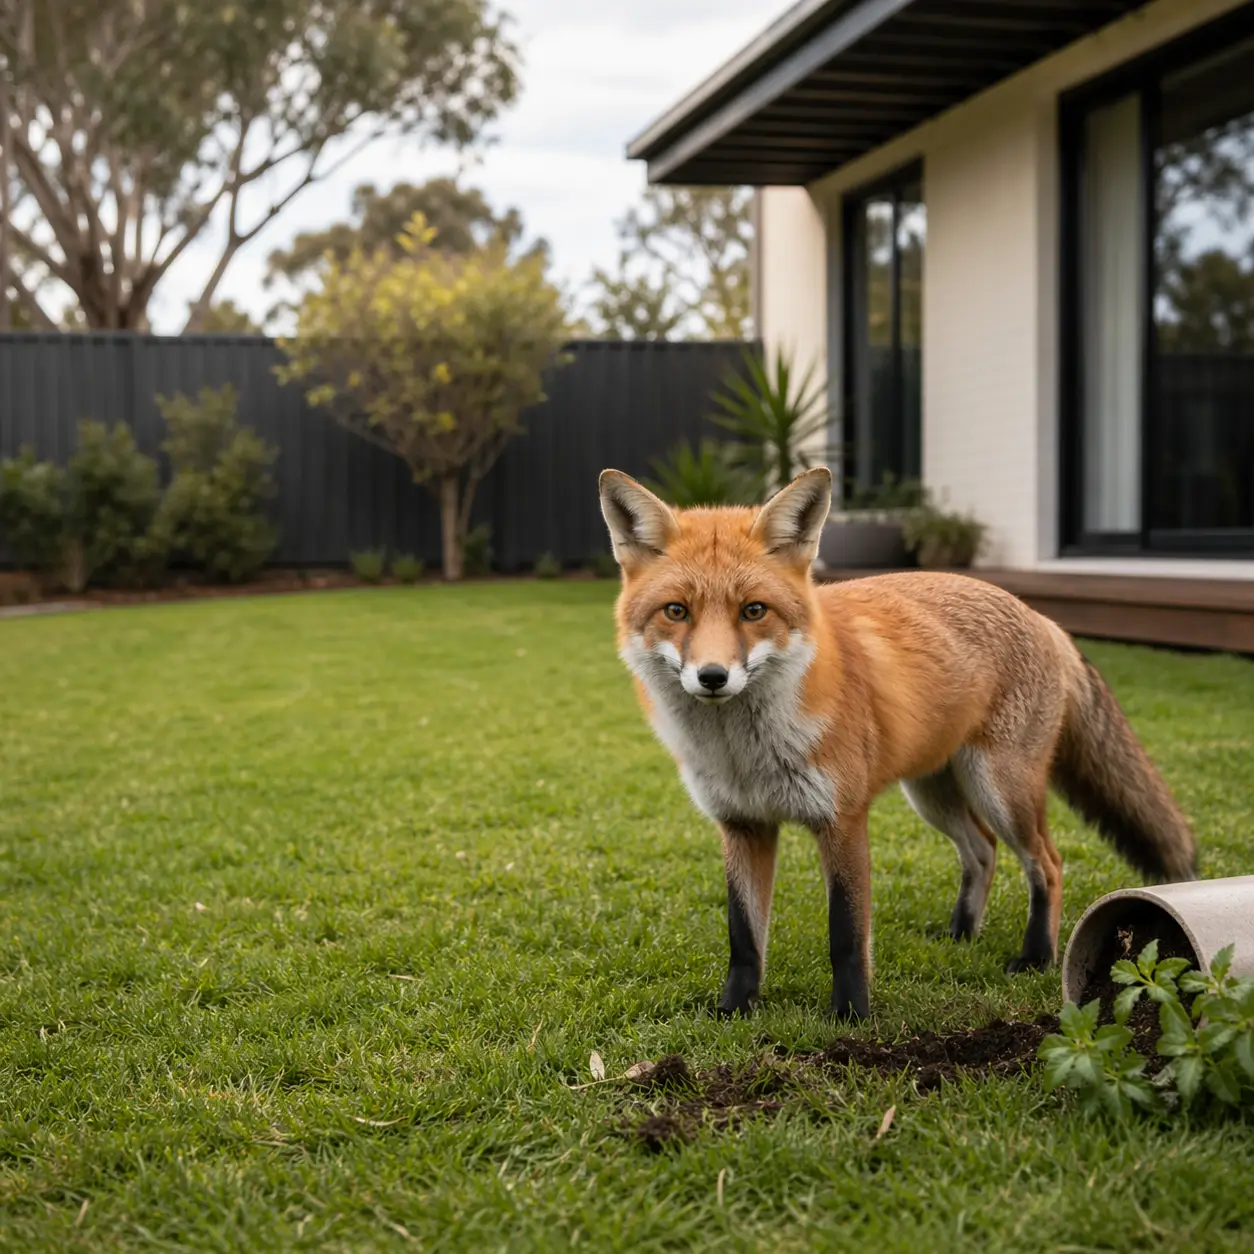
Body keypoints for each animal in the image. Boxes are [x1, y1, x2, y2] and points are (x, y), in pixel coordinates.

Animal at [598, 464, 1198, 1020]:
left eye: (754, 611)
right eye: (677, 612)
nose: (713, 676)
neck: (743, 754)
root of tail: (1039, 615)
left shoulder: (842, 819)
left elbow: (845, 932)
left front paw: (850, 1016)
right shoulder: (743, 826)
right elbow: (743, 935)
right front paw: (734, 1010)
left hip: (1000, 789)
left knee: (1047, 863)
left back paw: (1036, 957)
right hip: (933, 793)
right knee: (982, 850)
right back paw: (961, 935)